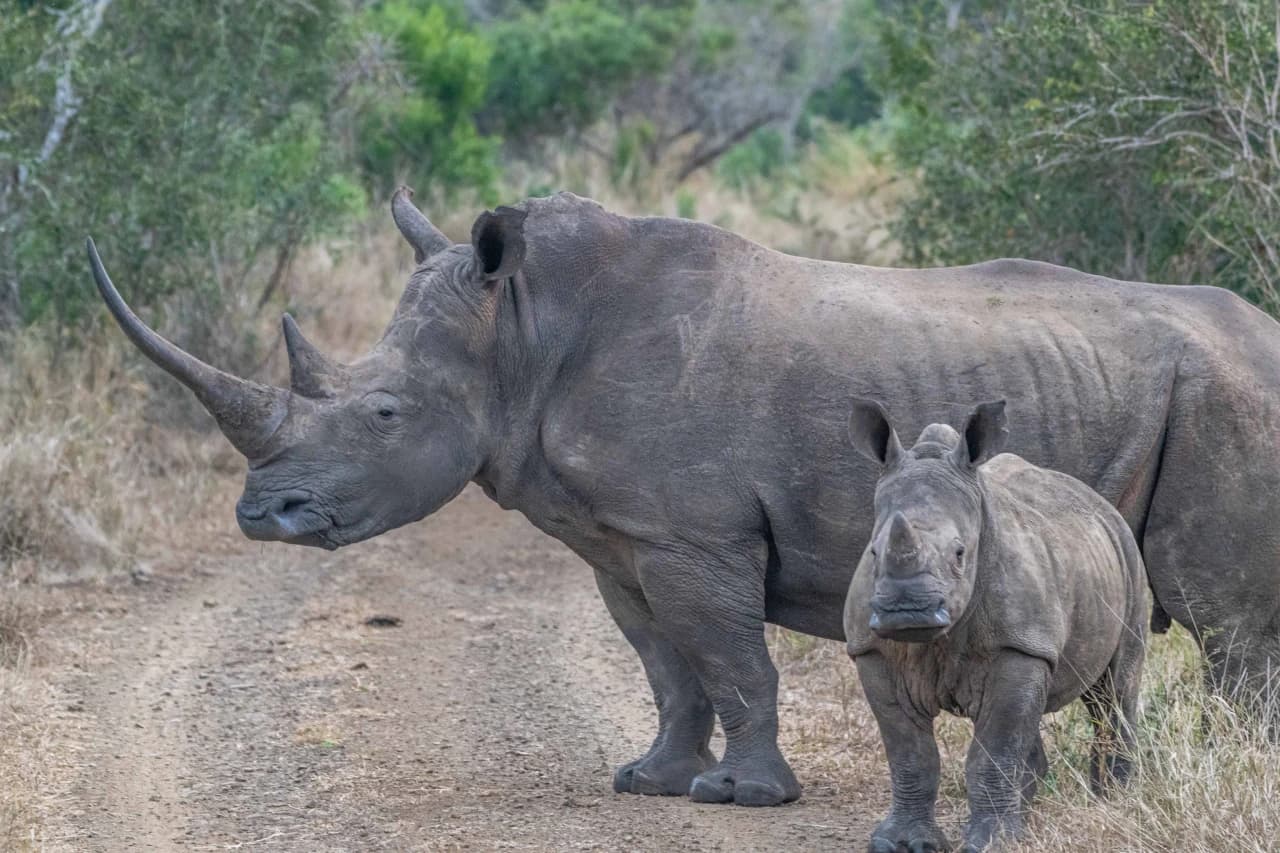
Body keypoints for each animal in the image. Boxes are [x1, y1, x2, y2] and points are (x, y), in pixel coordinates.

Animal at [88, 188, 1280, 806]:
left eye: (382, 413)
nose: (261, 517)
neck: (517, 331)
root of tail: (1267, 331)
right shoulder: (623, 537)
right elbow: (666, 662)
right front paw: (652, 780)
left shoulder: (694, 533)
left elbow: (730, 655)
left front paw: (741, 798)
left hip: (1228, 396)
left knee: (1220, 618)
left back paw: (1222, 769)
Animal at [844, 399, 1145, 852]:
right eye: (874, 552)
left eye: (960, 553)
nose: (907, 611)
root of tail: (1099, 503)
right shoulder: (872, 650)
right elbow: (910, 754)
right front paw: (899, 843)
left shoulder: (1020, 646)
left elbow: (995, 749)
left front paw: (992, 842)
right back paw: (1029, 817)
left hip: (1127, 554)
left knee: (1114, 691)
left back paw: (1113, 801)